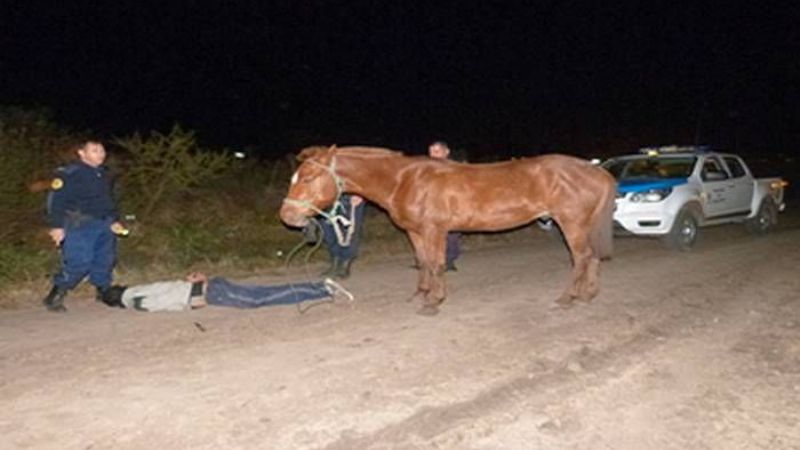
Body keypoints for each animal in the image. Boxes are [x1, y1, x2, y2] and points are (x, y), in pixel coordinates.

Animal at [280, 145, 616, 315]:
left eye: (307, 177)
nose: (288, 215)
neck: (403, 179)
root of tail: (597, 170)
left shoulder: (434, 230)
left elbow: (437, 263)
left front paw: (433, 302)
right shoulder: (416, 232)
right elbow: (424, 263)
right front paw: (422, 294)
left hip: (571, 223)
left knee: (581, 258)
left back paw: (567, 298)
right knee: (591, 257)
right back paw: (588, 295)